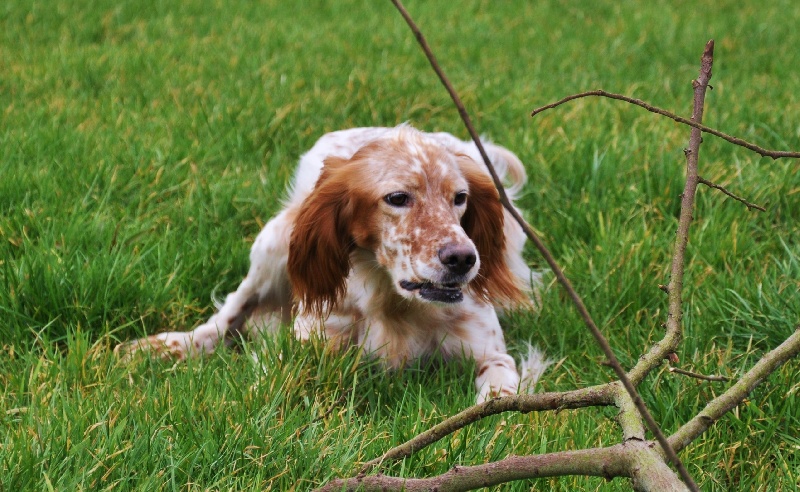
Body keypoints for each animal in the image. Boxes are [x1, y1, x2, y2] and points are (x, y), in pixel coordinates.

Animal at [114, 125, 552, 402]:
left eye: (459, 198)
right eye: (397, 198)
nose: (463, 259)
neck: (392, 301)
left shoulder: (492, 354)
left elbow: (500, 393)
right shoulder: (311, 346)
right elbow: (276, 375)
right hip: (275, 241)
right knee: (222, 321)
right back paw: (164, 346)